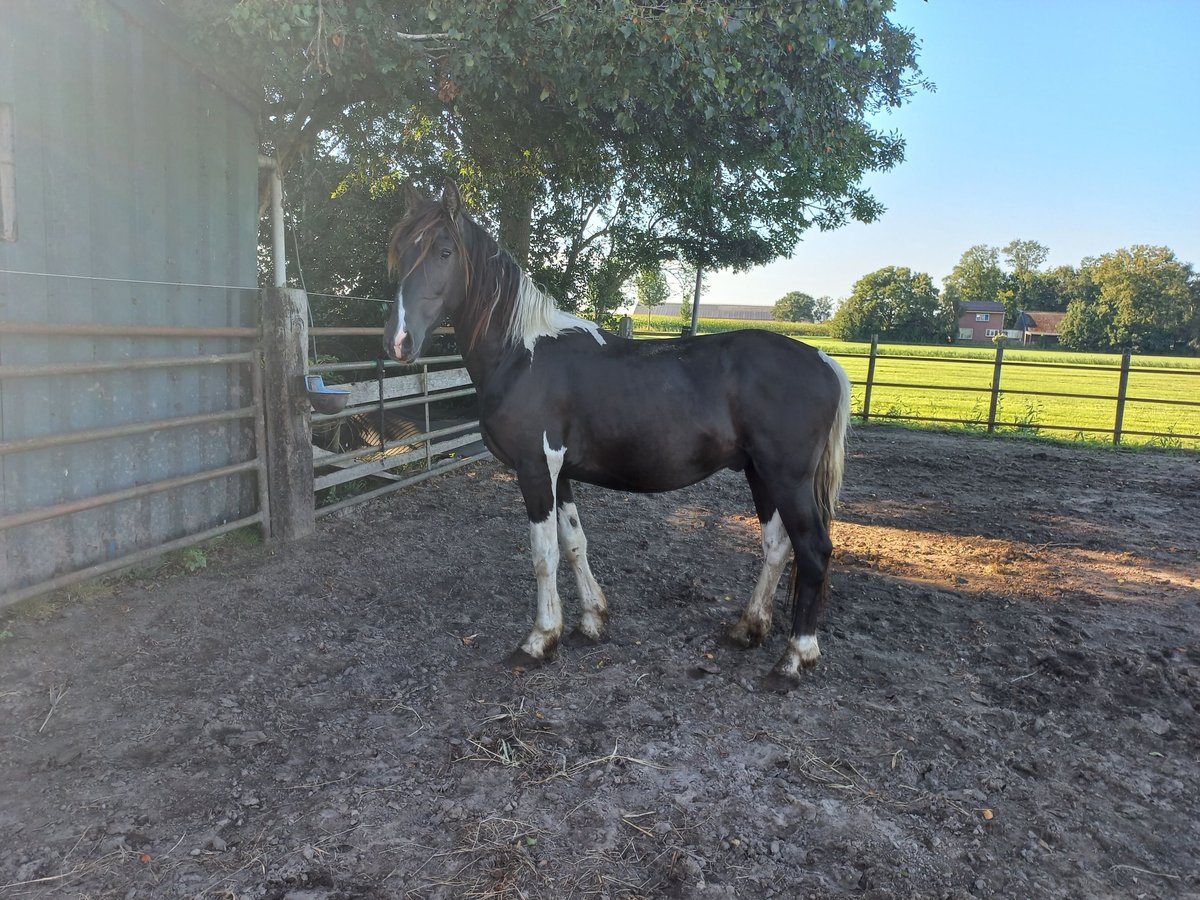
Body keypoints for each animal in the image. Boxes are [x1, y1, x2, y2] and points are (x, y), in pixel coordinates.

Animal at [384, 183, 854, 686]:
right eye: (400, 250)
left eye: (445, 251)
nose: (399, 343)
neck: (522, 355)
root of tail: (824, 360)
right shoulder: (560, 474)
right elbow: (574, 544)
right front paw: (591, 621)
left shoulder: (535, 470)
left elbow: (543, 554)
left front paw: (539, 640)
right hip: (760, 474)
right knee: (777, 546)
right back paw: (748, 628)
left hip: (786, 477)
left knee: (813, 550)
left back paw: (794, 658)